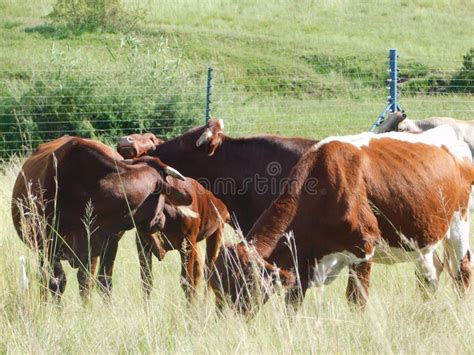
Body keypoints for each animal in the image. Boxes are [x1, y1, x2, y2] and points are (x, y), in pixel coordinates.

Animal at [11, 136, 190, 300]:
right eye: (164, 195)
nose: (161, 221)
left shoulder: (107, 242)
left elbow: (100, 282)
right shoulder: (48, 242)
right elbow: (57, 282)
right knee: (45, 278)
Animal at [210, 127, 474, 314]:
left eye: (242, 284)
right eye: (216, 286)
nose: (226, 321)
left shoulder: (363, 250)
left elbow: (356, 301)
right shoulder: (301, 265)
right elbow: (292, 305)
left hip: (458, 222)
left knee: (462, 270)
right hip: (421, 238)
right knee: (431, 274)